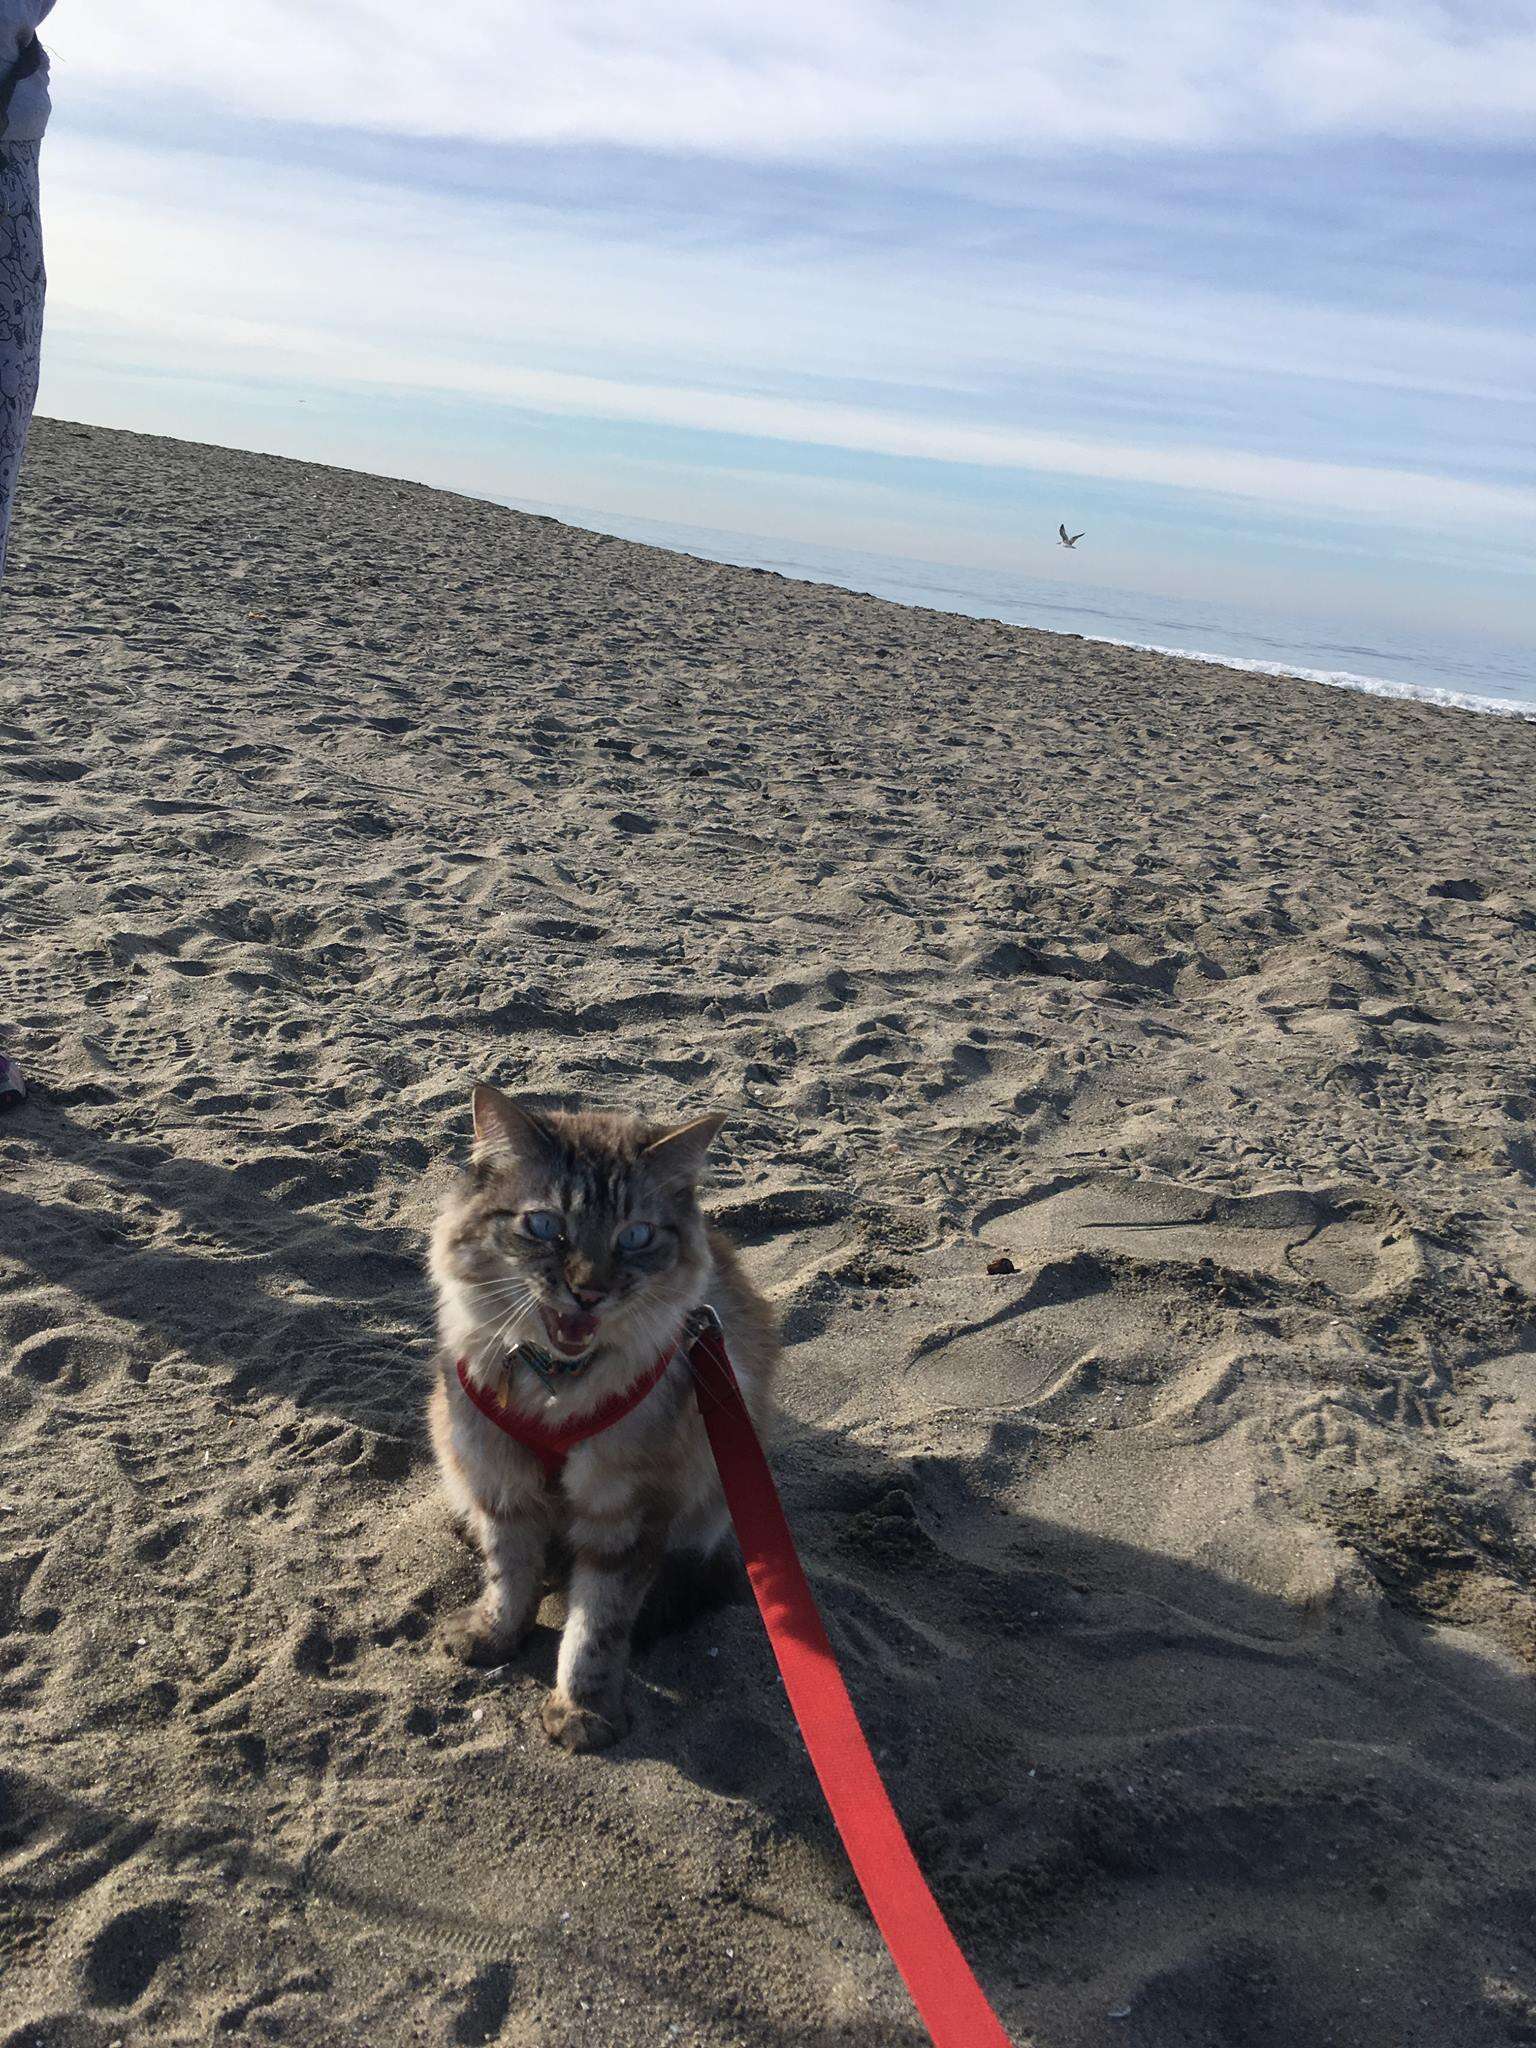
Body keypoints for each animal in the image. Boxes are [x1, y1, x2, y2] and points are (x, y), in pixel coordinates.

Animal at [423, 1081, 774, 1753]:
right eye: (544, 1227)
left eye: (634, 1236)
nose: (588, 1291)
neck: (556, 1387)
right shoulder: (501, 1481)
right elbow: (508, 1574)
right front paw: (493, 1634)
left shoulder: (627, 1512)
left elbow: (597, 1624)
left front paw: (581, 1710)